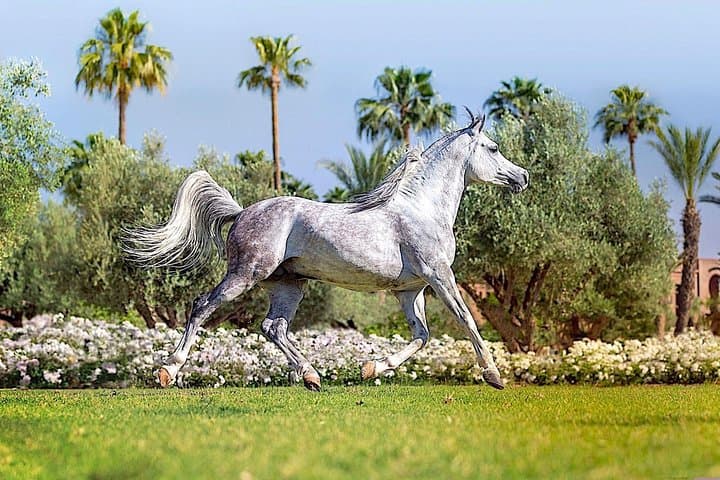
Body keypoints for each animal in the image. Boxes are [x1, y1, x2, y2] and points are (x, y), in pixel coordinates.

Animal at [125, 112, 529, 391]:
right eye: (493, 148)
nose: (522, 177)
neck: (421, 209)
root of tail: (240, 212)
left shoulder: (409, 289)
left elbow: (421, 335)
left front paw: (372, 368)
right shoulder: (439, 275)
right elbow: (466, 319)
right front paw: (494, 375)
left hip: (288, 285)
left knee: (273, 327)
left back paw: (311, 376)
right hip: (246, 274)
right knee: (202, 306)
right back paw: (168, 370)